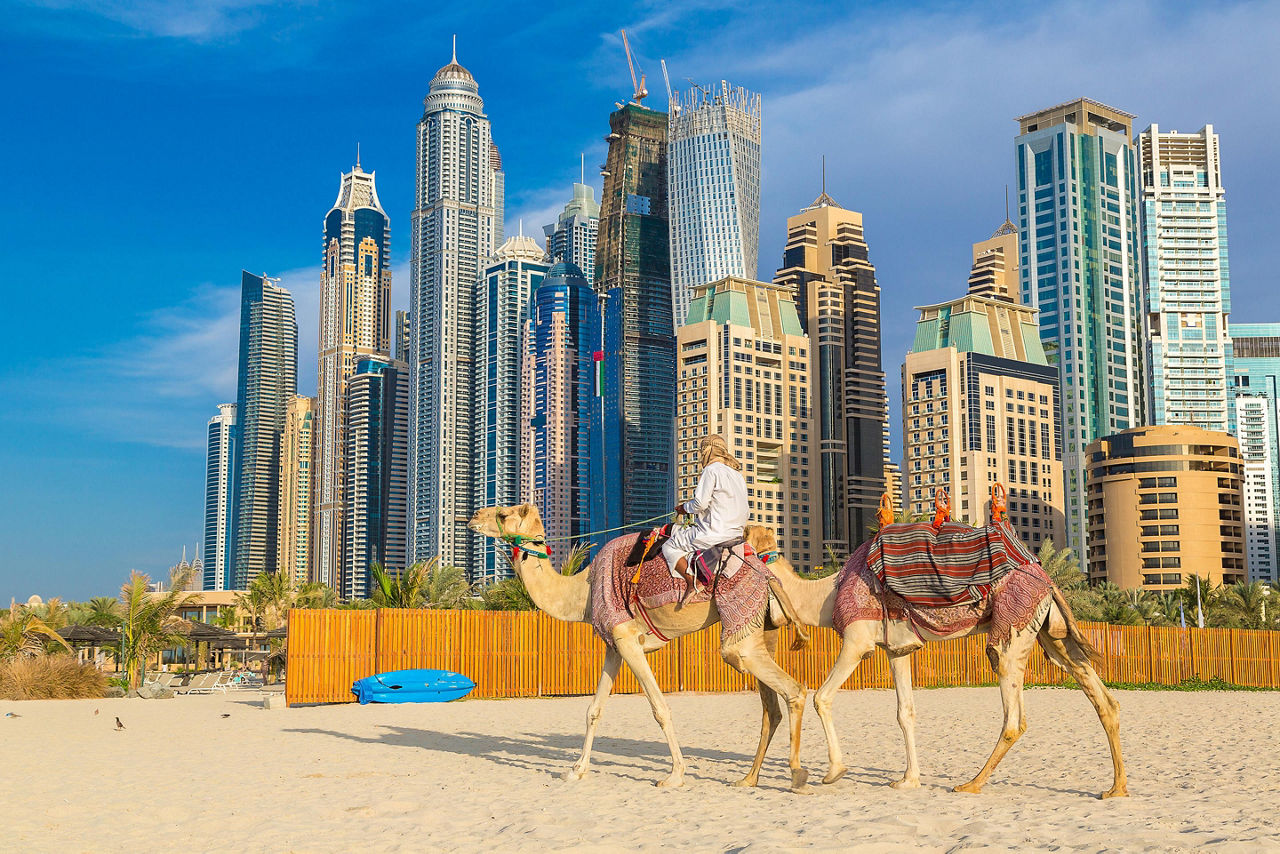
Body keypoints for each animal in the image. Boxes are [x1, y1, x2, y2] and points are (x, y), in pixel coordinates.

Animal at [471, 504, 808, 793]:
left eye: (503, 514)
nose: (473, 516)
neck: (582, 593)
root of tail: (768, 574)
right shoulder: (613, 645)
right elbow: (593, 710)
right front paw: (576, 770)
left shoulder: (628, 638)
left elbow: (660, 708)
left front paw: (675, 776)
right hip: (763, 629)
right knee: (772, 707)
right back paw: (750, 779)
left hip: (740, 630)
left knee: (792, 688)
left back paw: (799, 775)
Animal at [742, 524, 1131, 798]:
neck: (826, 593)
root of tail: (1047, 579)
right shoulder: (897, 648)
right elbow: (905, 713)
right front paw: (908, 780)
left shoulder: (858, 641)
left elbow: (822, 697)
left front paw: (834, 771)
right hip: (1051, 632)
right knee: (1102, 697)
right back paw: (1116, 789)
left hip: (1011, 630)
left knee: (1014, 718)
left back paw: (971, 784)